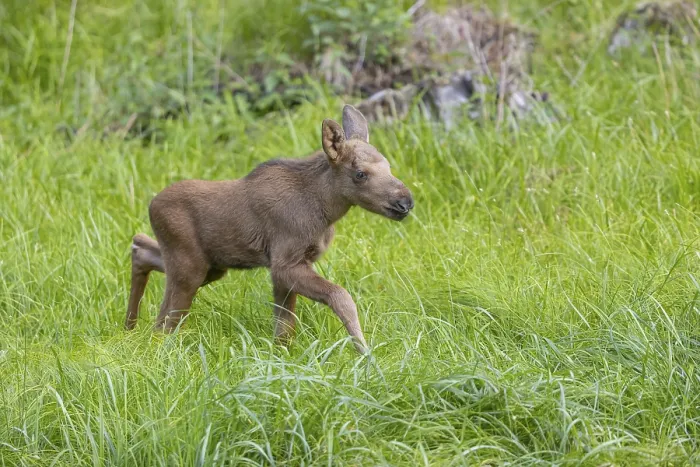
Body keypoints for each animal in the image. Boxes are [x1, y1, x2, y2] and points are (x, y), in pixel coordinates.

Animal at [125, 105, 414, 354]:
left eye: (388, 166)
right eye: (360, 174)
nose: (405, 202)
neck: (325, 210)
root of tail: (151, 206)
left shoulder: (290, 266)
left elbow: (284, 327)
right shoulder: (284, 263)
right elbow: (340, 296)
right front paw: (365, 352)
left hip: (211, 266)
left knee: (141, 249)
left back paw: (129, 326)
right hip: (190, 267)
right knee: (164, 321)